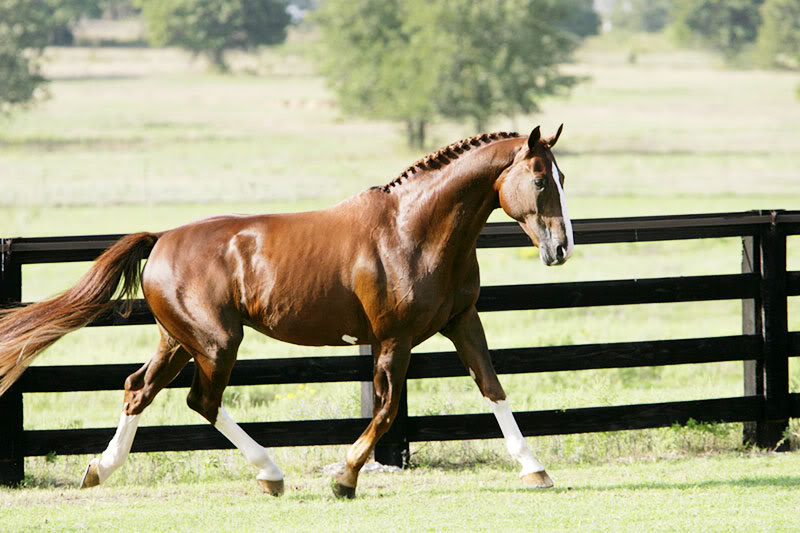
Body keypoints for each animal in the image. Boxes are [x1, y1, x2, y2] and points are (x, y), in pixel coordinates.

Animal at [0, 123, 576, 494]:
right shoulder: (394, 339)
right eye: (540, 180)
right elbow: (388, 408)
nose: (561, 249)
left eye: (563, 180)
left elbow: (493, 387)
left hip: (178, 340)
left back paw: (99, 469)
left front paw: (535, 470)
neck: (414, 230)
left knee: (137, 388)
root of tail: (161, 240)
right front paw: (345, 477)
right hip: (216, 342)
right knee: (201, 400)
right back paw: (270, 473)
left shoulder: (462, 322)